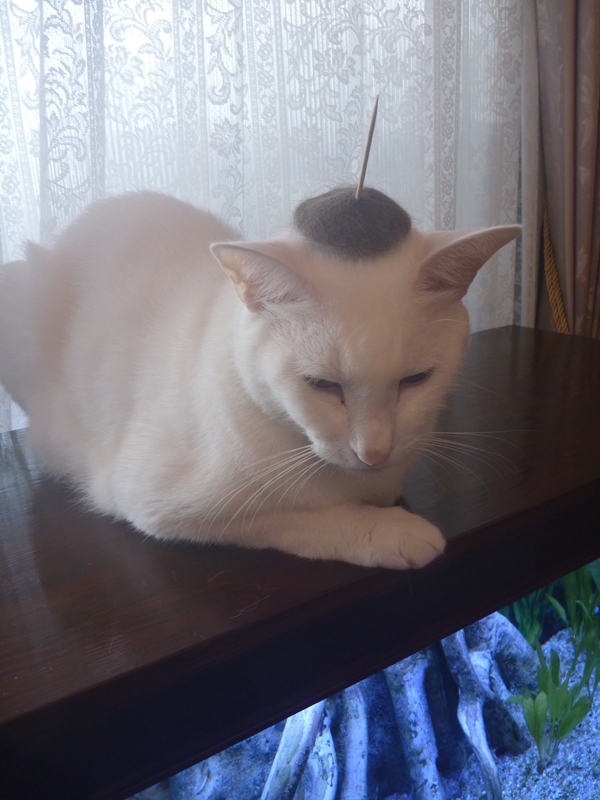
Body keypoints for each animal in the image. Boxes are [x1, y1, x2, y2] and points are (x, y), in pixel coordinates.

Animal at [0, 187, 520, 569]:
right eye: (322, 385)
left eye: (415, 380)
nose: (374, 453)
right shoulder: (156, 500)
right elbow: (302, 518)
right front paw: (393, 531)